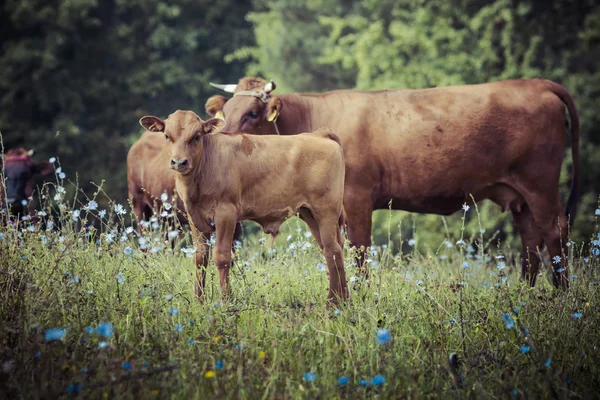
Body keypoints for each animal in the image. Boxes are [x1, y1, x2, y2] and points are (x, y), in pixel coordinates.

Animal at [140, 109, 346, 304]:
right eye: (167, 136)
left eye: (196, 136)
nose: (179, 162)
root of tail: (319, 134)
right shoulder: (194, 218)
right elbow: (200, 257)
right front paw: (198, 301)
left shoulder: (226, 213)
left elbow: (222, 257)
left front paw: (226, 301)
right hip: (309, 213)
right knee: (332, 249)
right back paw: (345, 300)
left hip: (325, 211)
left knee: (332, 250)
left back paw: (333, 303)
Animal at [207, 76, 580, 288]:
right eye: (226, 112)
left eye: (253, 113)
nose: (225, 139)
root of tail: (537, 83)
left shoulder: (356, 198)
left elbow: (358, 251)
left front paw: (361, 293)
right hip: (518, 194)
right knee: (531, 238)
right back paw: (526, 294)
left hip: (539, 183)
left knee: (554, 230)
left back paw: (559, 294)